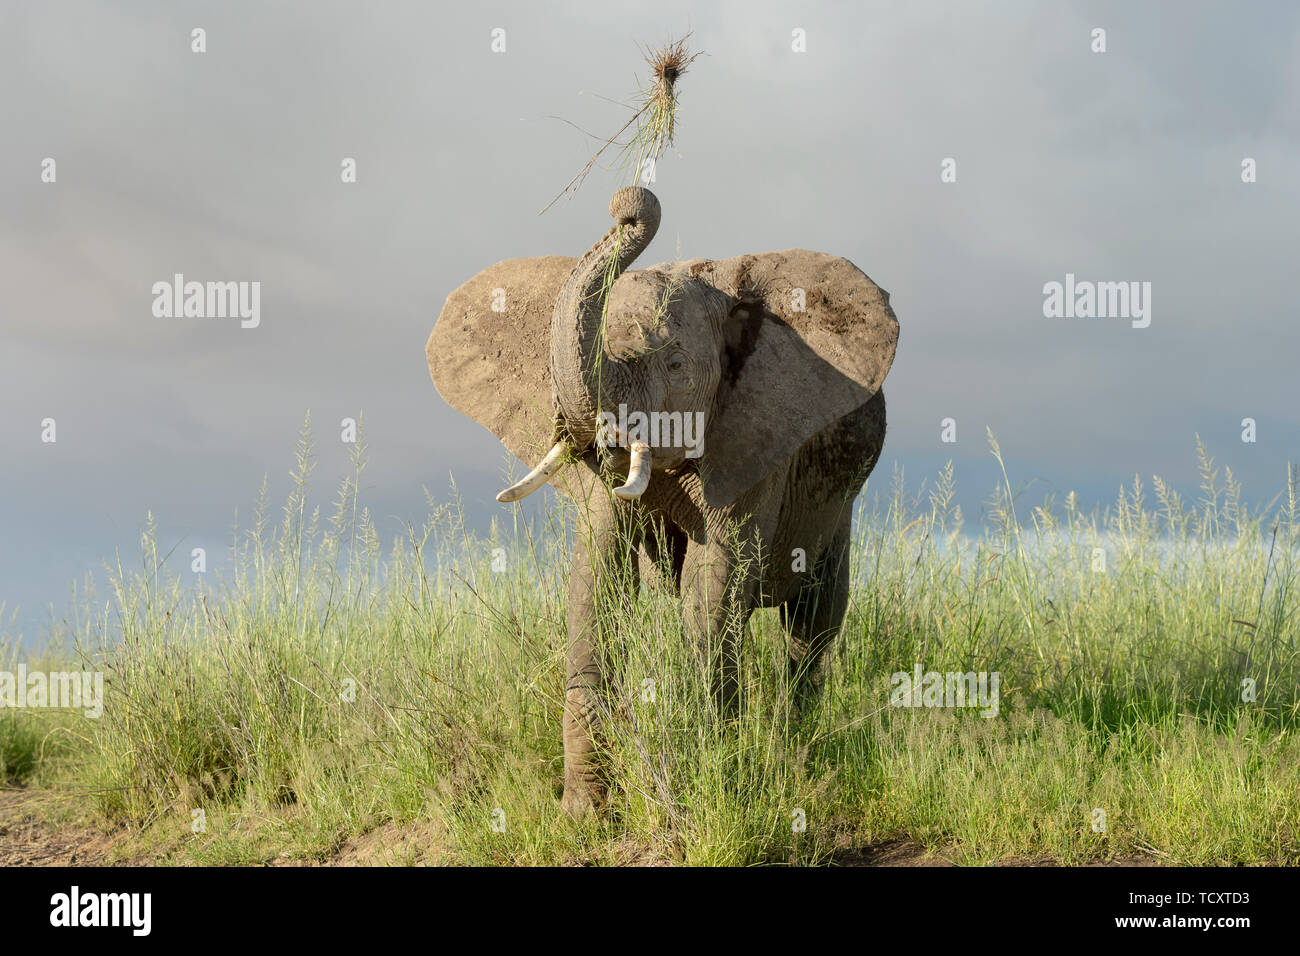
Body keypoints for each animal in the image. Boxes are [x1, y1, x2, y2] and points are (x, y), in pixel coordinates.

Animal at [427, 186, 898, 816]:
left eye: (675, 363)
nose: (629, 201)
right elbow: (600, 571)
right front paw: (584, 814)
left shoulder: (757, 433)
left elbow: (715, 576)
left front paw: (716, 780)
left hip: (839, 504)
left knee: (813, 622)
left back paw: (801, 754)